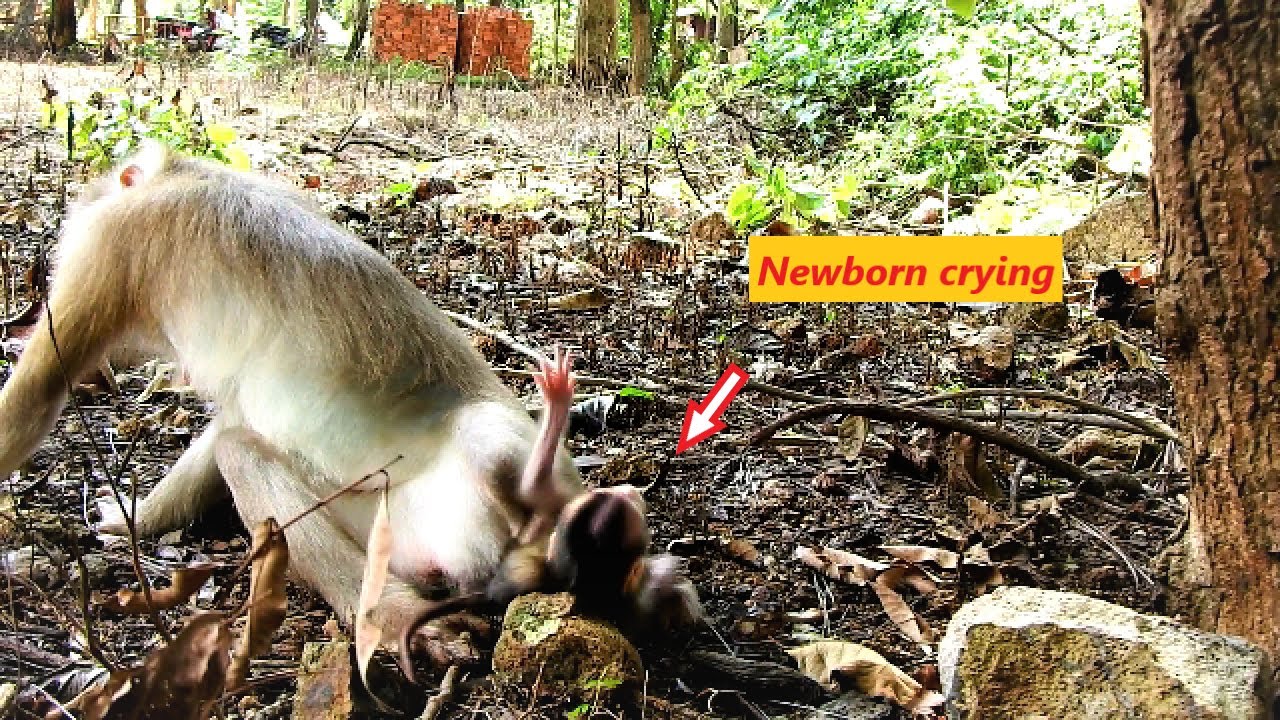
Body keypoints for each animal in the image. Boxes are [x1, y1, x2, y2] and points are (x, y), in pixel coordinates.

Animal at [0, 143, 700, 666]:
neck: (186, 173)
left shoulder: (117, 241)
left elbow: (36, 390)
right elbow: (233, 418)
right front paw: (134, 522)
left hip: (503, 483)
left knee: (482, 446)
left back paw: (396, 615)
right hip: (401, 529)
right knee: (245, 451)